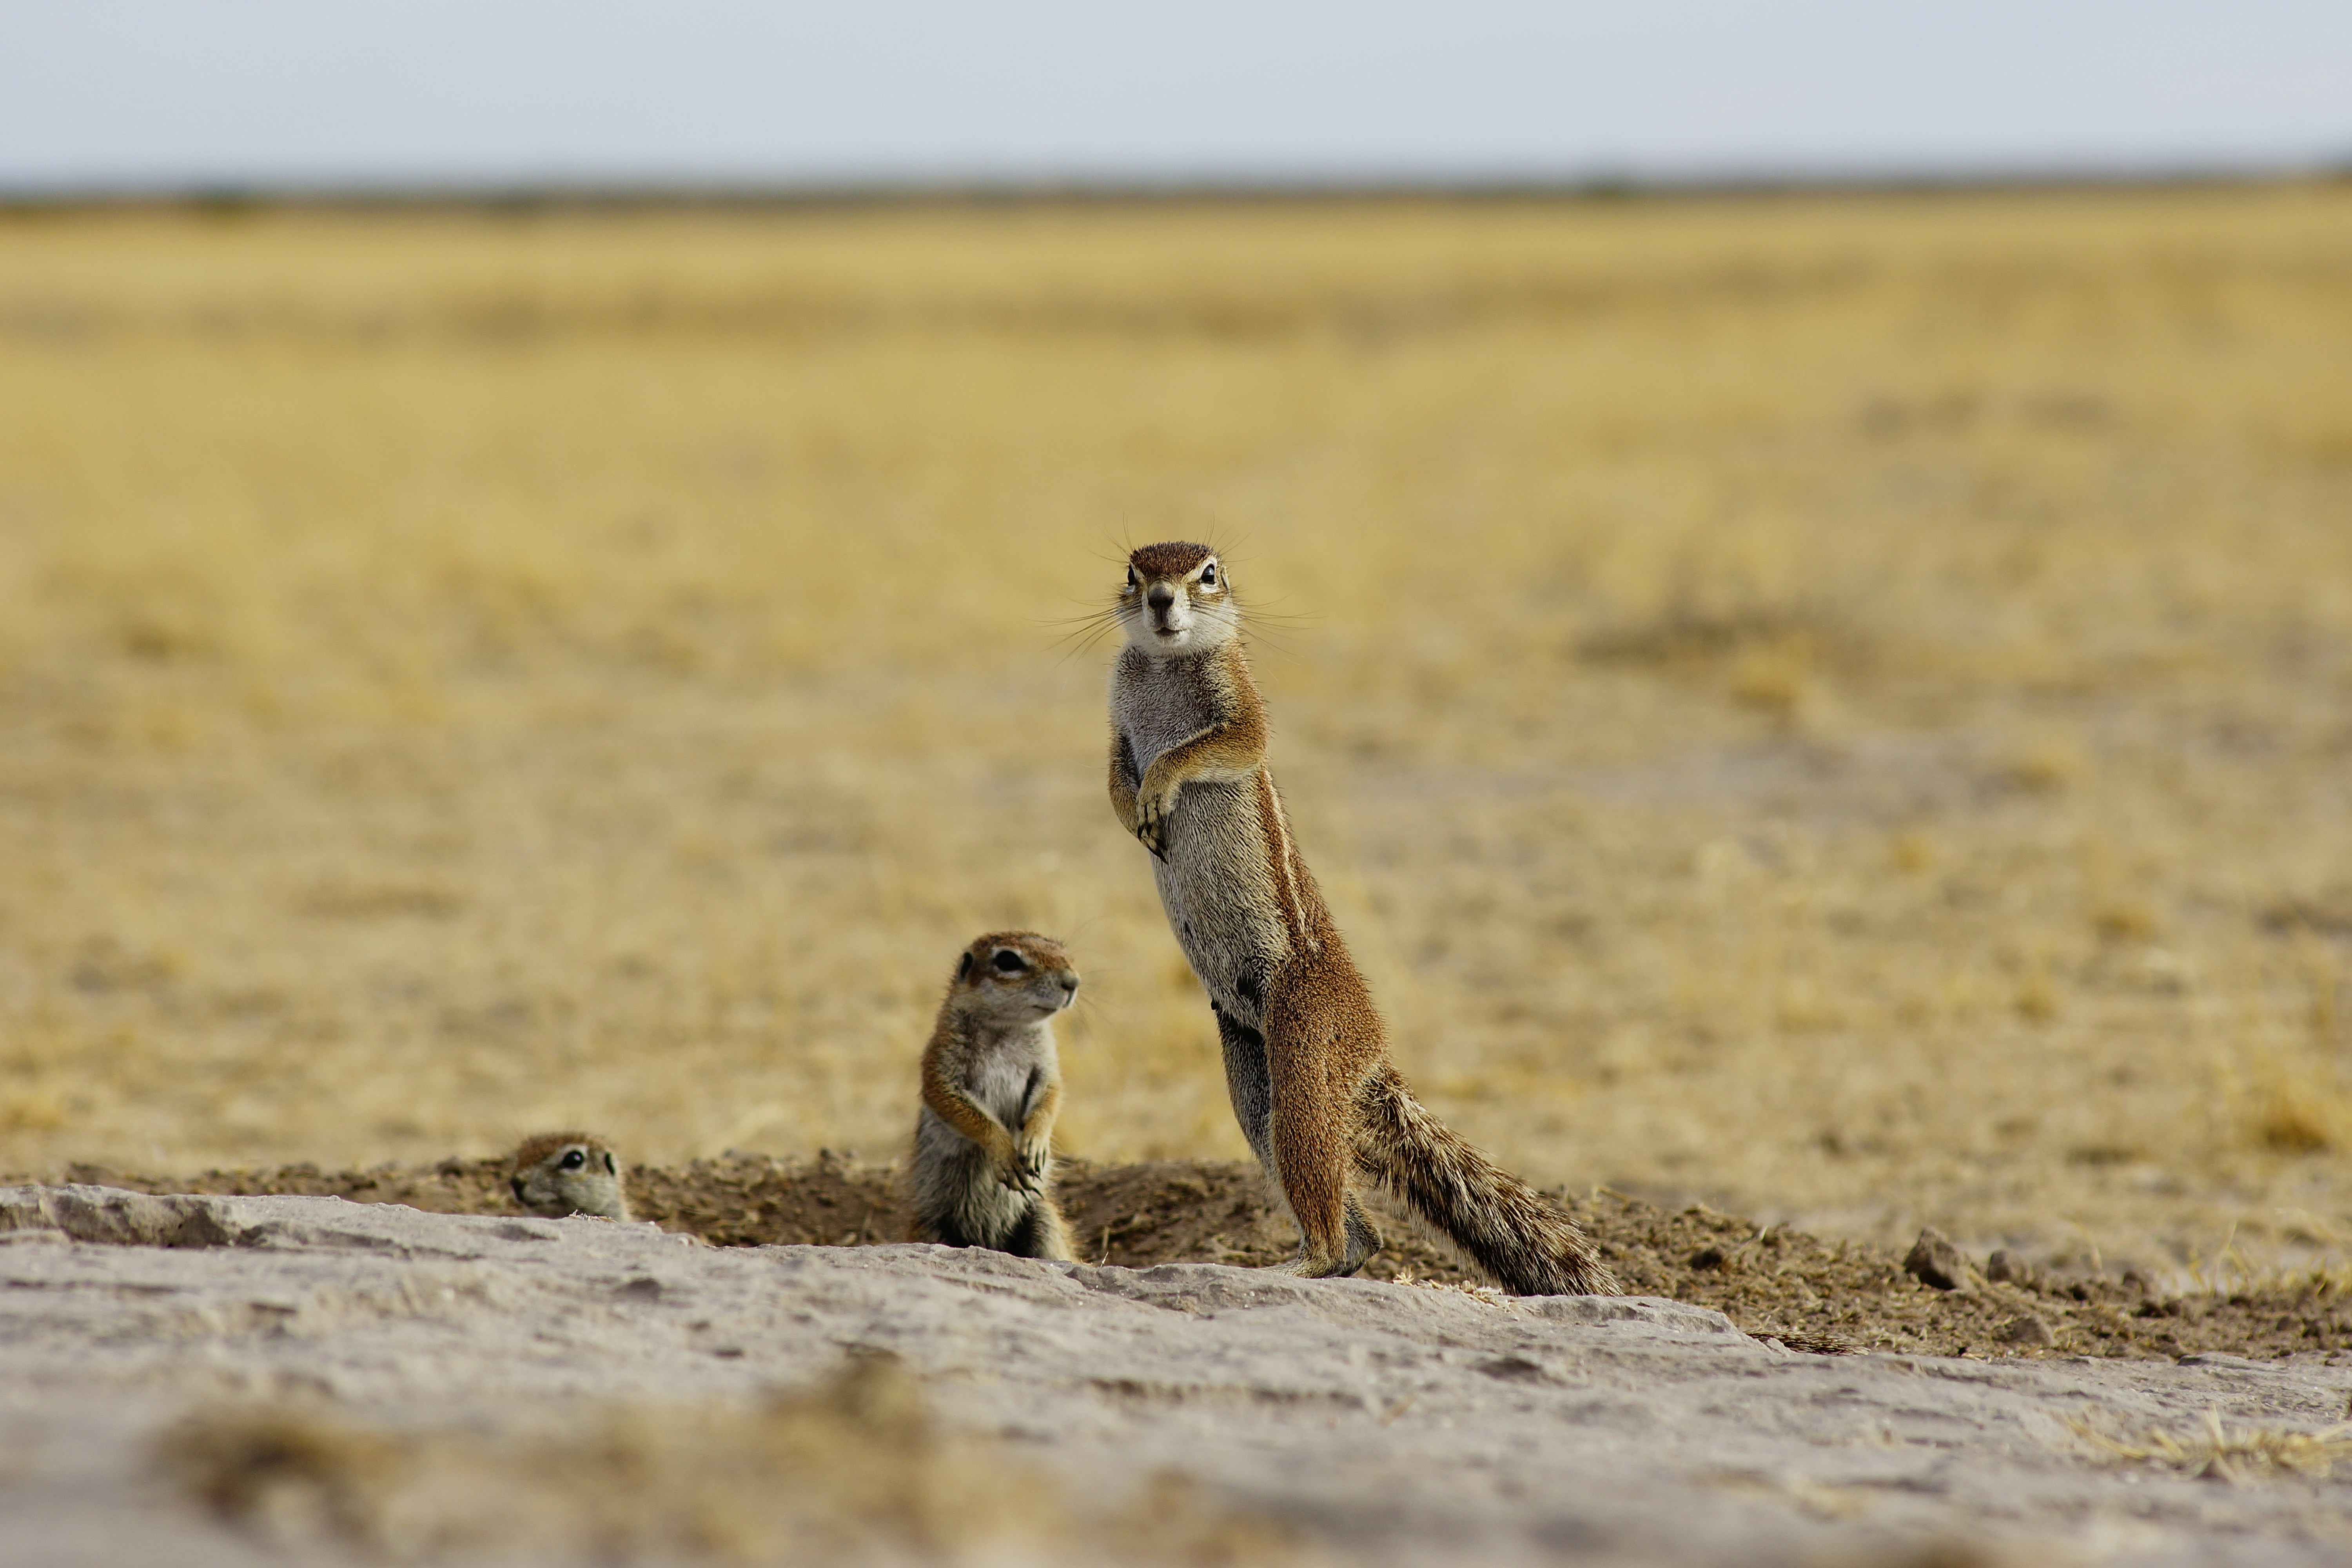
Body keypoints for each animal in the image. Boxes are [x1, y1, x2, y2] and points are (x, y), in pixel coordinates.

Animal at [906, 931, 1080, 1262]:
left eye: (1065, 952)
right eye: (1008, 961)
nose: (1073, 982)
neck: (1008, 1029)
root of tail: (989, 1243)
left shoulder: (1046, 1064)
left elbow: (1052, 1093)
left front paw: (1036, 1143)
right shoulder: (942, 1061)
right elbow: (954, 1104)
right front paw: (1004, 1150)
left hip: (1043, 1219)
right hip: (933, 1230)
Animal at [1105, 542, 1617, 1296]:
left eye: (1208, 573)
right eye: (1133, 575)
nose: (1162, 601)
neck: (1166, 666)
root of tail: (1374, 1053)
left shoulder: (1243, 709)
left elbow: (1216, 747)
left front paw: (1159, 786)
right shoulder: (1116, 719)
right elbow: (1115, 771)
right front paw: (1130, 809)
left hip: (1306, 1043)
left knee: (1316, 1160)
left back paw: (1301, 1261)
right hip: (1248, 1066)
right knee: (1347, 1213)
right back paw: (1323, 1255)